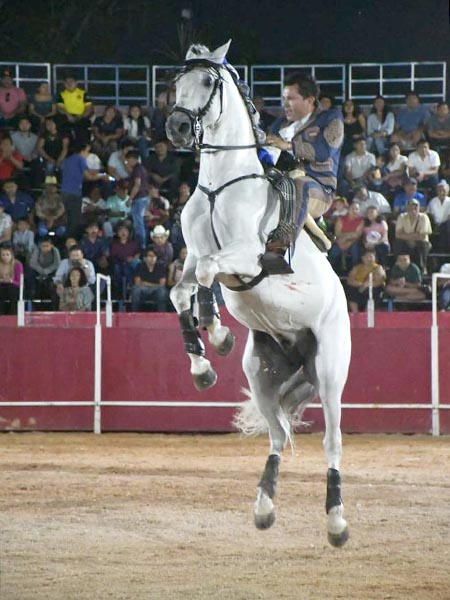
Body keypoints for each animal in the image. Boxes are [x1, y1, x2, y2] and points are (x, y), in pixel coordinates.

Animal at [165, 39, 352, 548]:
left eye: (207, 81)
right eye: (176, 80)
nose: (176, 126)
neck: (221, 184)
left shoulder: (246, 258)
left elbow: (210, 274)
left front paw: (217, 331)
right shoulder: (193, 256)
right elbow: (179, 291)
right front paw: (204, 364)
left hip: (331, 372)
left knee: (332, 441)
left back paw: (337, 523)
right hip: (263, 376)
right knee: (277, 435)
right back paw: (264, 507)